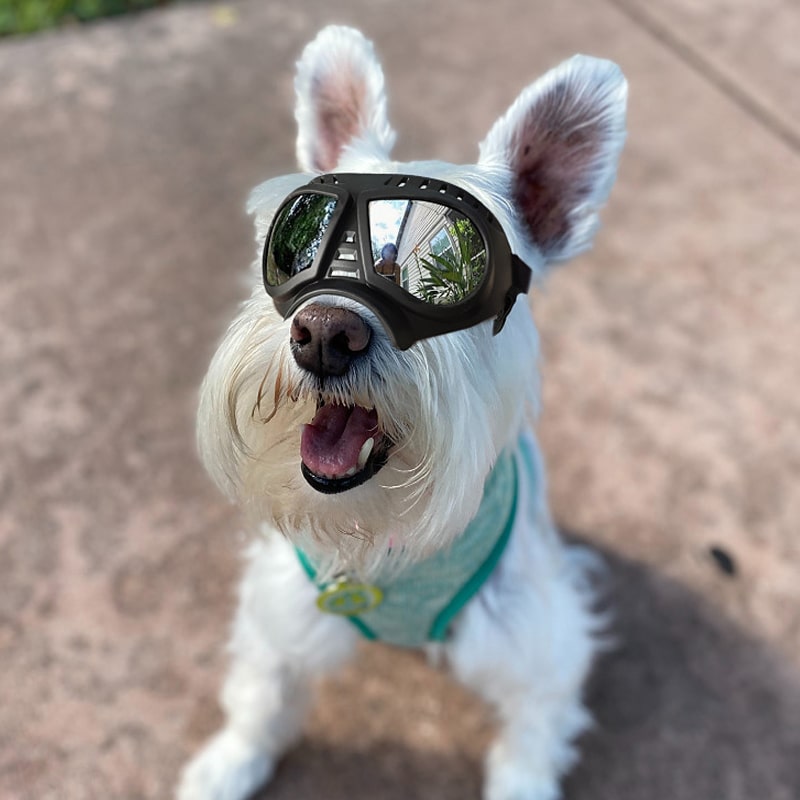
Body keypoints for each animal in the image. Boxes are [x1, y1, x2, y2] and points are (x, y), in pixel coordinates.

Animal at [178, 25, 628, 800]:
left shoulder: (542, 651)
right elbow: (259, 701)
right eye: (299, 237)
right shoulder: (281, 614)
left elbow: (529, 743)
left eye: (451, 264)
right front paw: (224, 766)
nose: (324, 332)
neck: (382, 544)